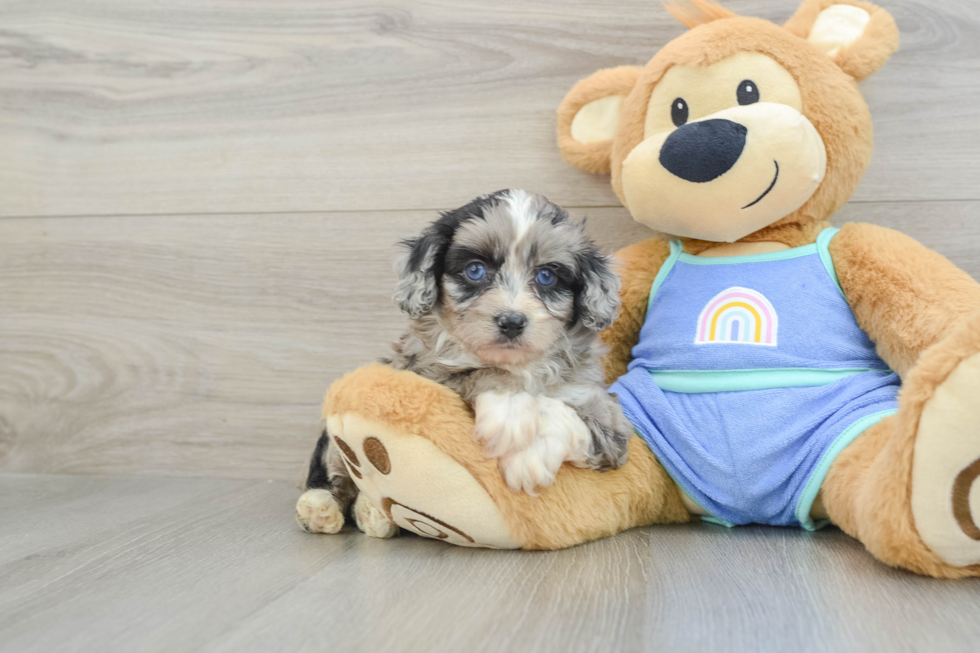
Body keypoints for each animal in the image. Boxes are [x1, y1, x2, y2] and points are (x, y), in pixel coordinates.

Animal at [298, 187, 632, 536]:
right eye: (475, 270)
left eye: (546, 276)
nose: (512, 322)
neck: (520, 364)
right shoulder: (423, 373)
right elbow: (484, 371)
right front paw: (511, 413)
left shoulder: (605, 425)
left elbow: (586, 420)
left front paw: (529, 458)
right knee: (337, 468)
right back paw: (324, 507)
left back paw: (372, 513)